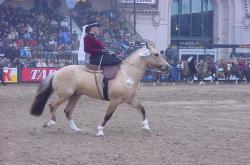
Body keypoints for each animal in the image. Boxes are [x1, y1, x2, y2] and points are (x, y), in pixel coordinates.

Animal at [28, 42, 170, 137]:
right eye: (156, 54)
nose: (168, 66)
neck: (126, 73)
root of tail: (57, 71)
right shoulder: (115, 100)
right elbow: (108, 116)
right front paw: (100, 130)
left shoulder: (130, 99)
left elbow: (142, 109)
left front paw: (146, 127)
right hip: (64, 95)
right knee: (52, 105)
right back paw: (51, 123)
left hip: (75, 95)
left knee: (67, 111)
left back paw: (76, 129)